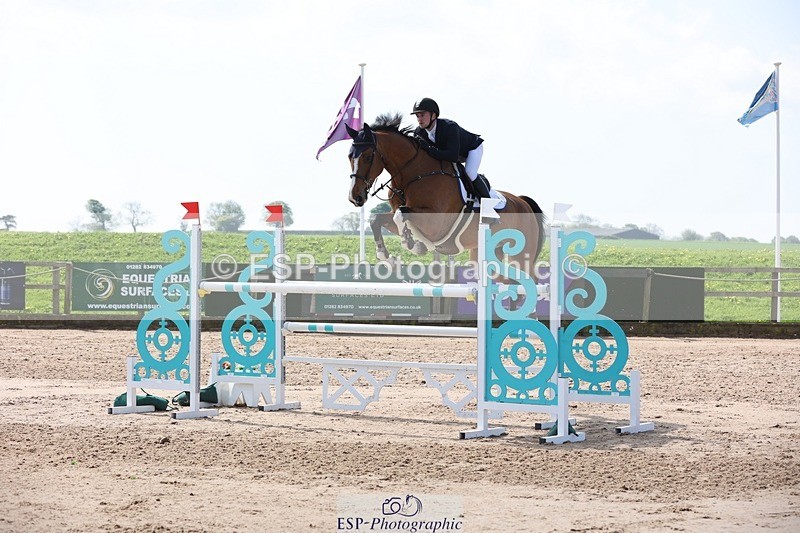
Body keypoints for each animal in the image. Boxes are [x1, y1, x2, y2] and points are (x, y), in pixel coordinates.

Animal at [345, 112, 546, 280]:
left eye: (368, 157)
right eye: (349, 156)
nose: (355, 197)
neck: (413, 174)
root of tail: (522, 201)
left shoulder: (436, 223)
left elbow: (401, 215)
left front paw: (413, 245)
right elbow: (377, 219)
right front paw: (389, 258)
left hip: (521, 255)